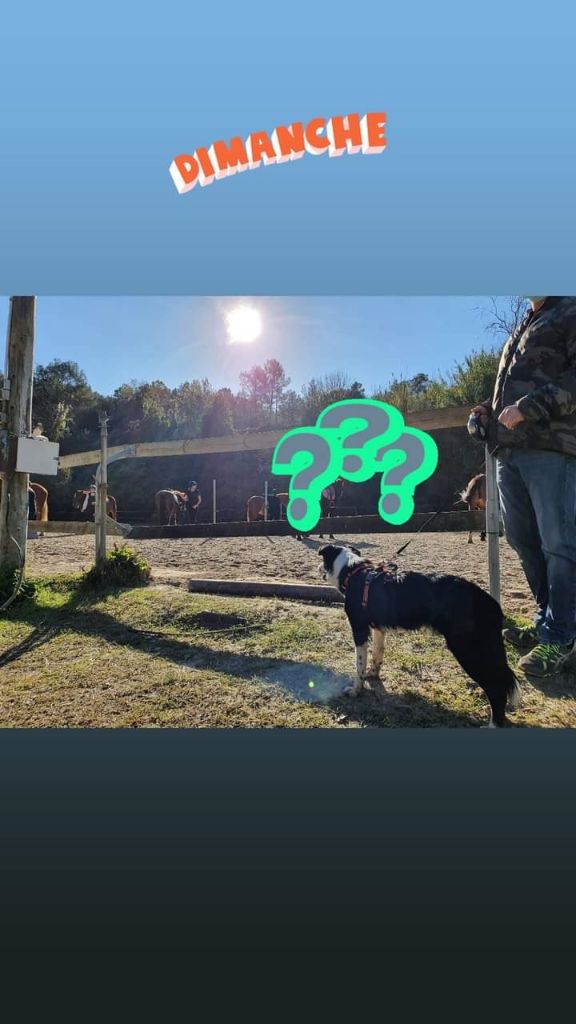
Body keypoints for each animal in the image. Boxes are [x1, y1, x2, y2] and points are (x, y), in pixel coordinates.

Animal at [315, 544, 518, 729]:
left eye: (322, 560)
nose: (318, 568)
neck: (353, 571)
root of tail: (489, 601)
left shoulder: (359, 630)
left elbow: (359, 665)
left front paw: (356, 690)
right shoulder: (378, 628)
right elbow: (377, 655)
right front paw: (373, 674)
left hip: (467, 649)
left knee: (496, 688)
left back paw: (493, 724)